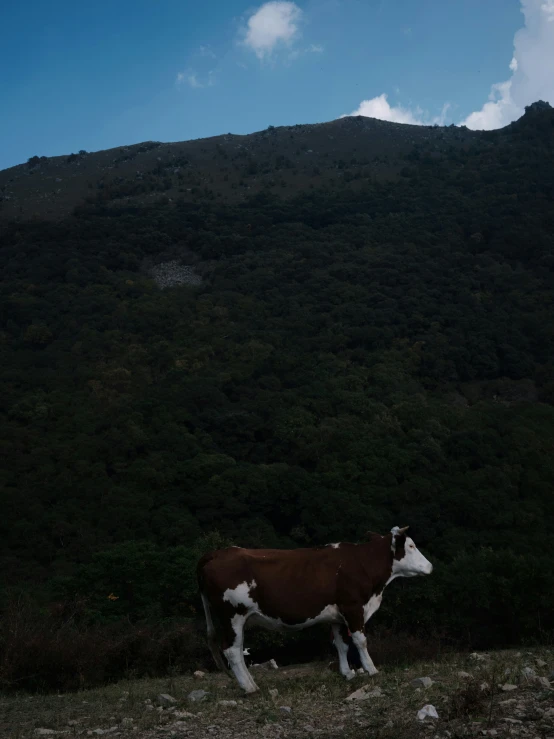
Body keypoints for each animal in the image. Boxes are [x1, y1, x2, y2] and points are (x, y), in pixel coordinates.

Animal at [196, 528, 434, 692]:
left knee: (237, 650)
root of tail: (218, 553)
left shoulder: (338, 616)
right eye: (411, 546)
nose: (431, 566)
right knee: (232, 650)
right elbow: (360, 641)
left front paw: (348, 674)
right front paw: (371, 669)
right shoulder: (353, 607)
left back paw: (251, 683)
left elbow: (341, 644)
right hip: (231, 615)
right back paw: (249, 688)